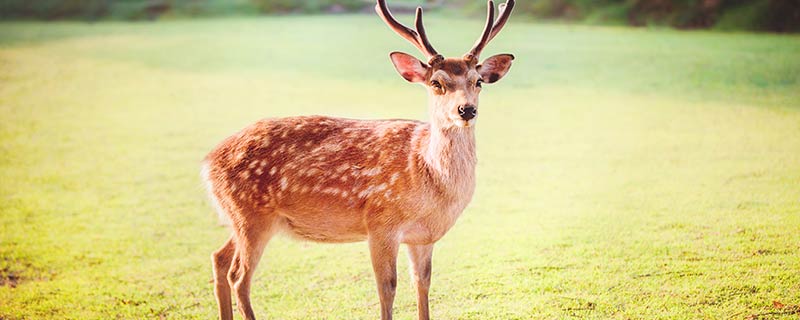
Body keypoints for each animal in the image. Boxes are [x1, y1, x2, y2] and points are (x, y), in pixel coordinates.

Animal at [205, 1, 520, 318]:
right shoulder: (380, 223)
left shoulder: (423, 237)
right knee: (239, 277)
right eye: (436, 83)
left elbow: (423, 283)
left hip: (242, 218)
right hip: (250, 215)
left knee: (219, 258)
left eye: (478, 82)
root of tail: (207, 162)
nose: (466, 110)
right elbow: (387, 288)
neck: (430, 179)